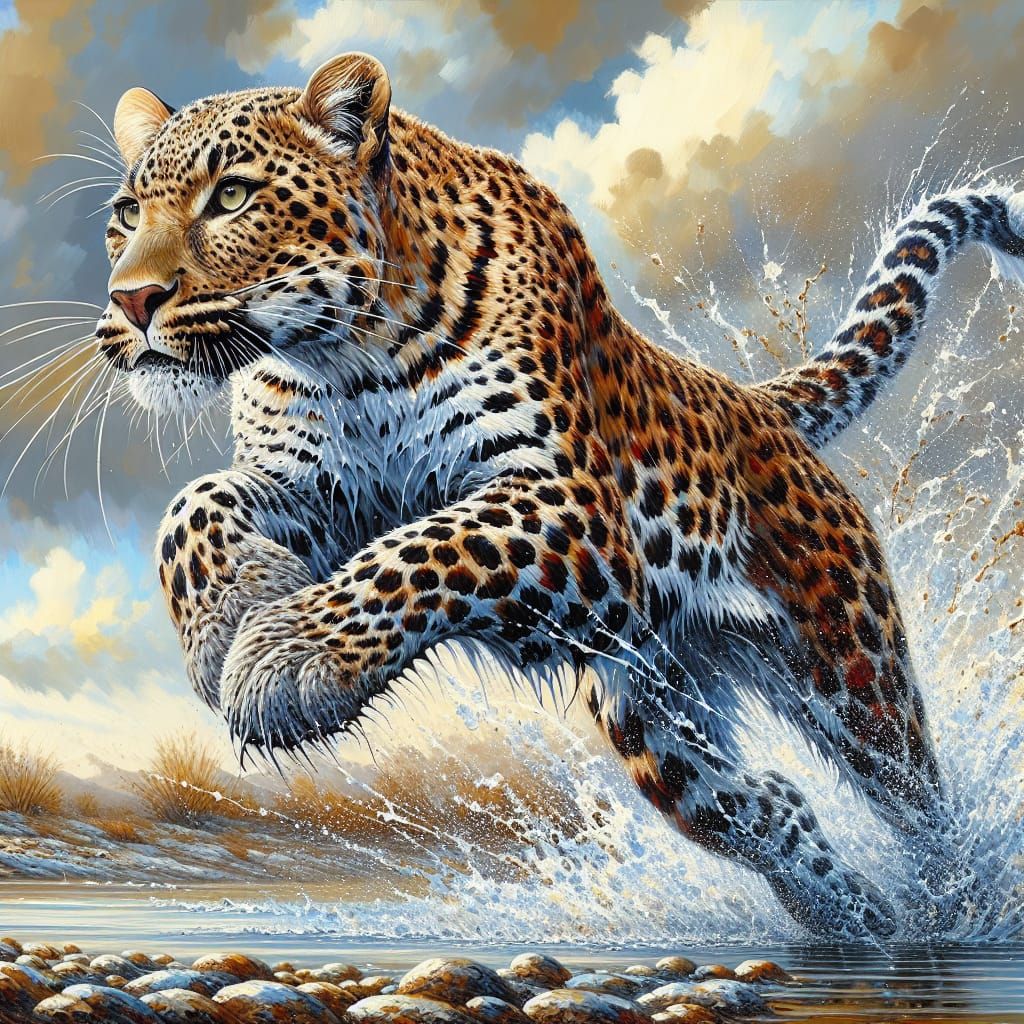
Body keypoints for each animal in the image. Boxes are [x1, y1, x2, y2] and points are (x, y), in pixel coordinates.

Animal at [94, 51, 1024, 940]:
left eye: (232, 196)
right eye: (126, 215)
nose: (131, 300)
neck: (344, 357)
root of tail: (757, 405)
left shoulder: (572, 511)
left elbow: (423, 550)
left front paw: (287, 658)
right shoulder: (317, 489)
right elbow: (190, 507)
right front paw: (227, 621)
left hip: (852, 666)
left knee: (918, 799)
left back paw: (951, 907)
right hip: (653, 716)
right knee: (756, 808)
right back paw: (855, 913)